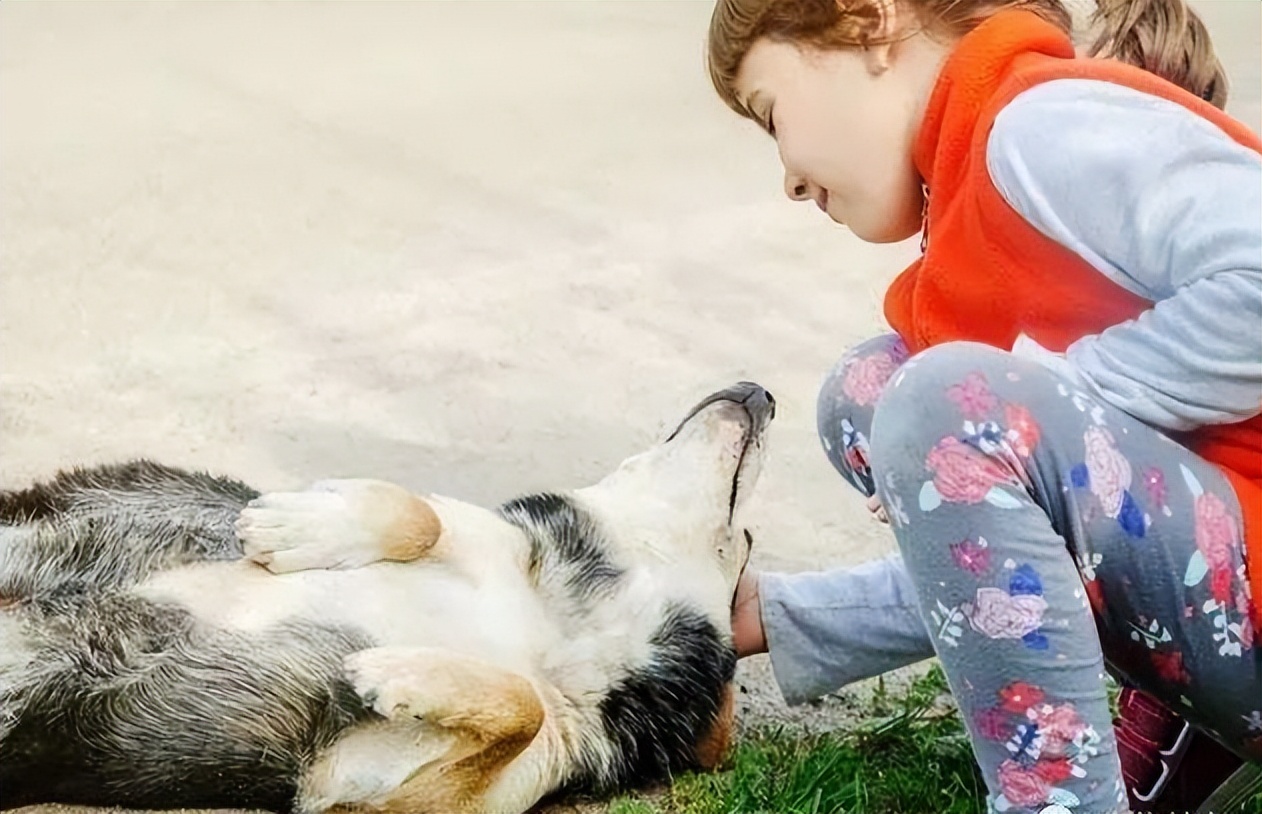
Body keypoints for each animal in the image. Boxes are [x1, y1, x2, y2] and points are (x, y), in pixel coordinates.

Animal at [0, 383, 772, 812]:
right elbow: (419, 512)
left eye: (745, 538)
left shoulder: (366, 791)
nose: (764, 391)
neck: (564, 618)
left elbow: (522, 704)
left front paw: (397, 673)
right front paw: (300, 524)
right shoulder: (473, 531)